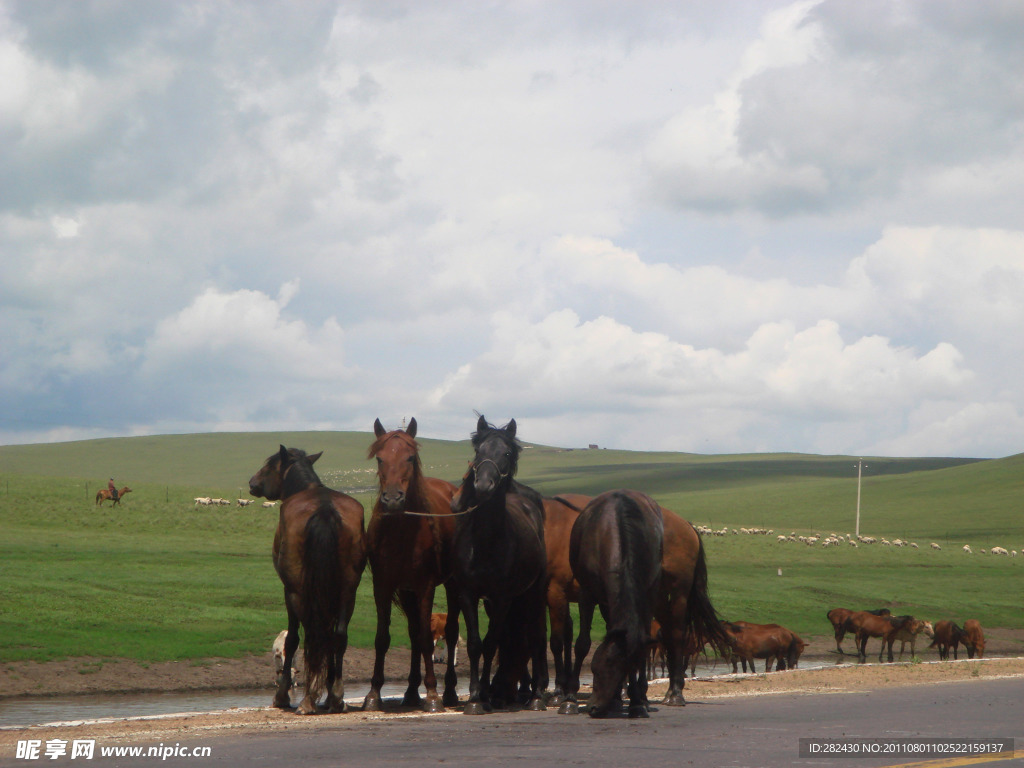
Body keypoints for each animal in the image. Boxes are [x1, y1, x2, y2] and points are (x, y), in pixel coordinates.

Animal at [246, 444, 366, 716]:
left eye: (269, 465)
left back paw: (308, 700)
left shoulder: (288, 591)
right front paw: (331, 689)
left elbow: (292, 640)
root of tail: (325, 509)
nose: (252, 482)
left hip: (298, 592)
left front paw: (282, 696)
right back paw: (336, 697)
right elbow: (331, 638)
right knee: (338, 636)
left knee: (310, 634)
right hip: (347, 591)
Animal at [360, 421, 456, 716]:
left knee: (450, 632)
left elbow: (426, 636)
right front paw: (373, 694)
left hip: (453, 584)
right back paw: (412, 691)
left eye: (410, 458)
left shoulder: (425, 586)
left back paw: (449, 691)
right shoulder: (385, 586)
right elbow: (383, 638)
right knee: (413, 634)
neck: (402, 532)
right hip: (406, 592)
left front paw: (433, 695)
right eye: (380, 459)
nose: (392, 499)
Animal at [450, 415, 548, 716]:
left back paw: (536, 696)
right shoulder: (468, 594)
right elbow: (475, 644)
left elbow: (491, 644)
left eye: (505, 453)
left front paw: (484, 694)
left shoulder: (503, 597)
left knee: (536, 635)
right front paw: (474, 697)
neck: (485, 541)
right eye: (478, 451)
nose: (483, 485)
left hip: (533, 593)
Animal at [561, 489, 663, 720]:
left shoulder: (646, 594)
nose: (595, 708)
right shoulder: (586, 594)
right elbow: (582, 644)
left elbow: (640, 646)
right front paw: (570, 699)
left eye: (626, 668)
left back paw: (636, 697)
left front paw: (636, 702)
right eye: (598, 669)